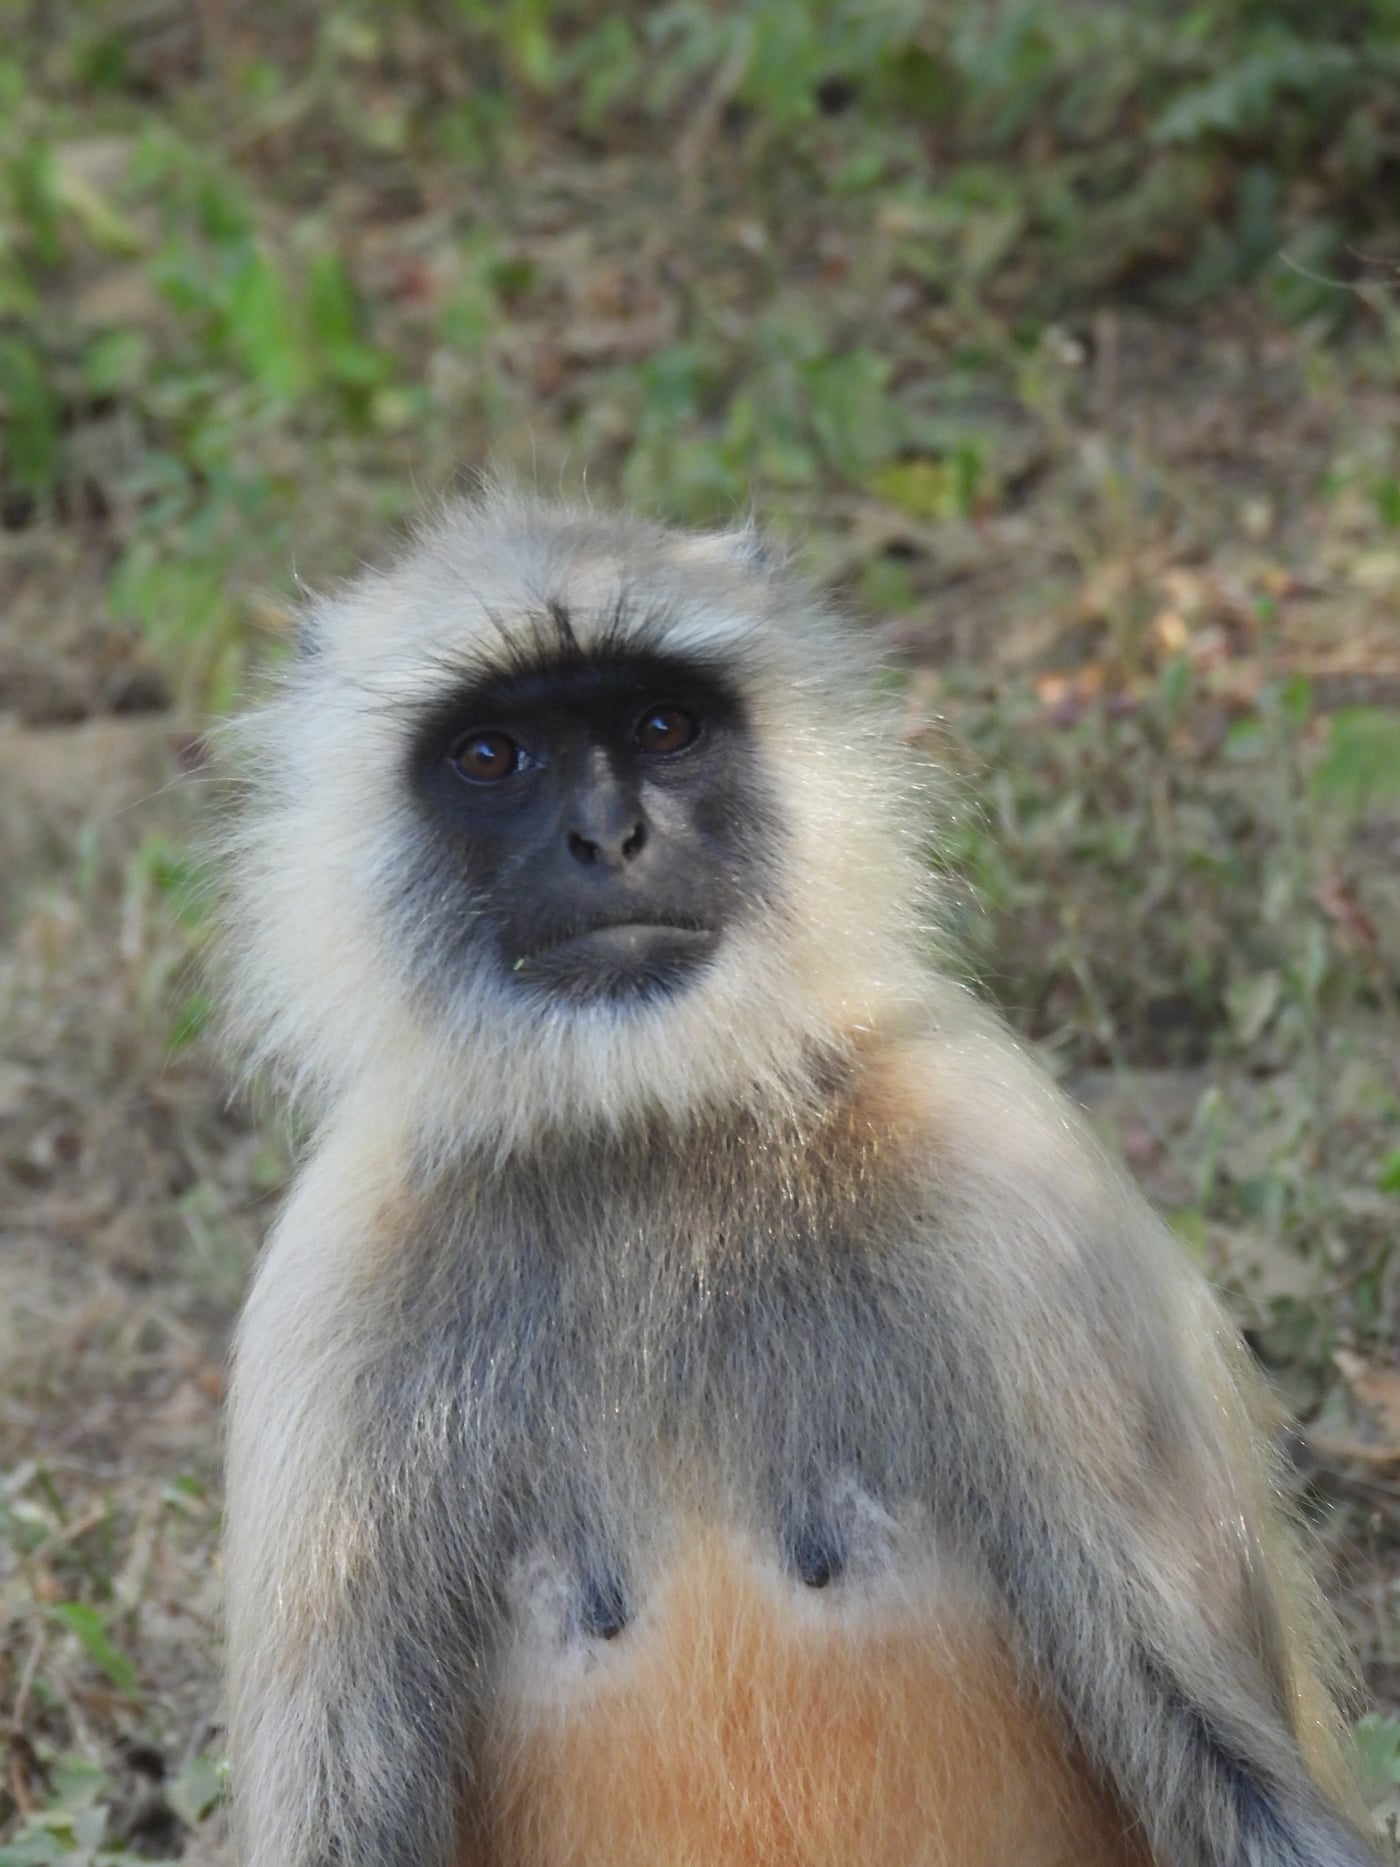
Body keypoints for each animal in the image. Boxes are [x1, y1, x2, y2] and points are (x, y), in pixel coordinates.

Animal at [221, 488, 1380, 1867]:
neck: (650, 1148)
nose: (608, 835)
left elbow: (1249, 1795)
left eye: (662, 728)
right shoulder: (337, 1284)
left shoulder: (1008, 1183)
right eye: (492, 755)